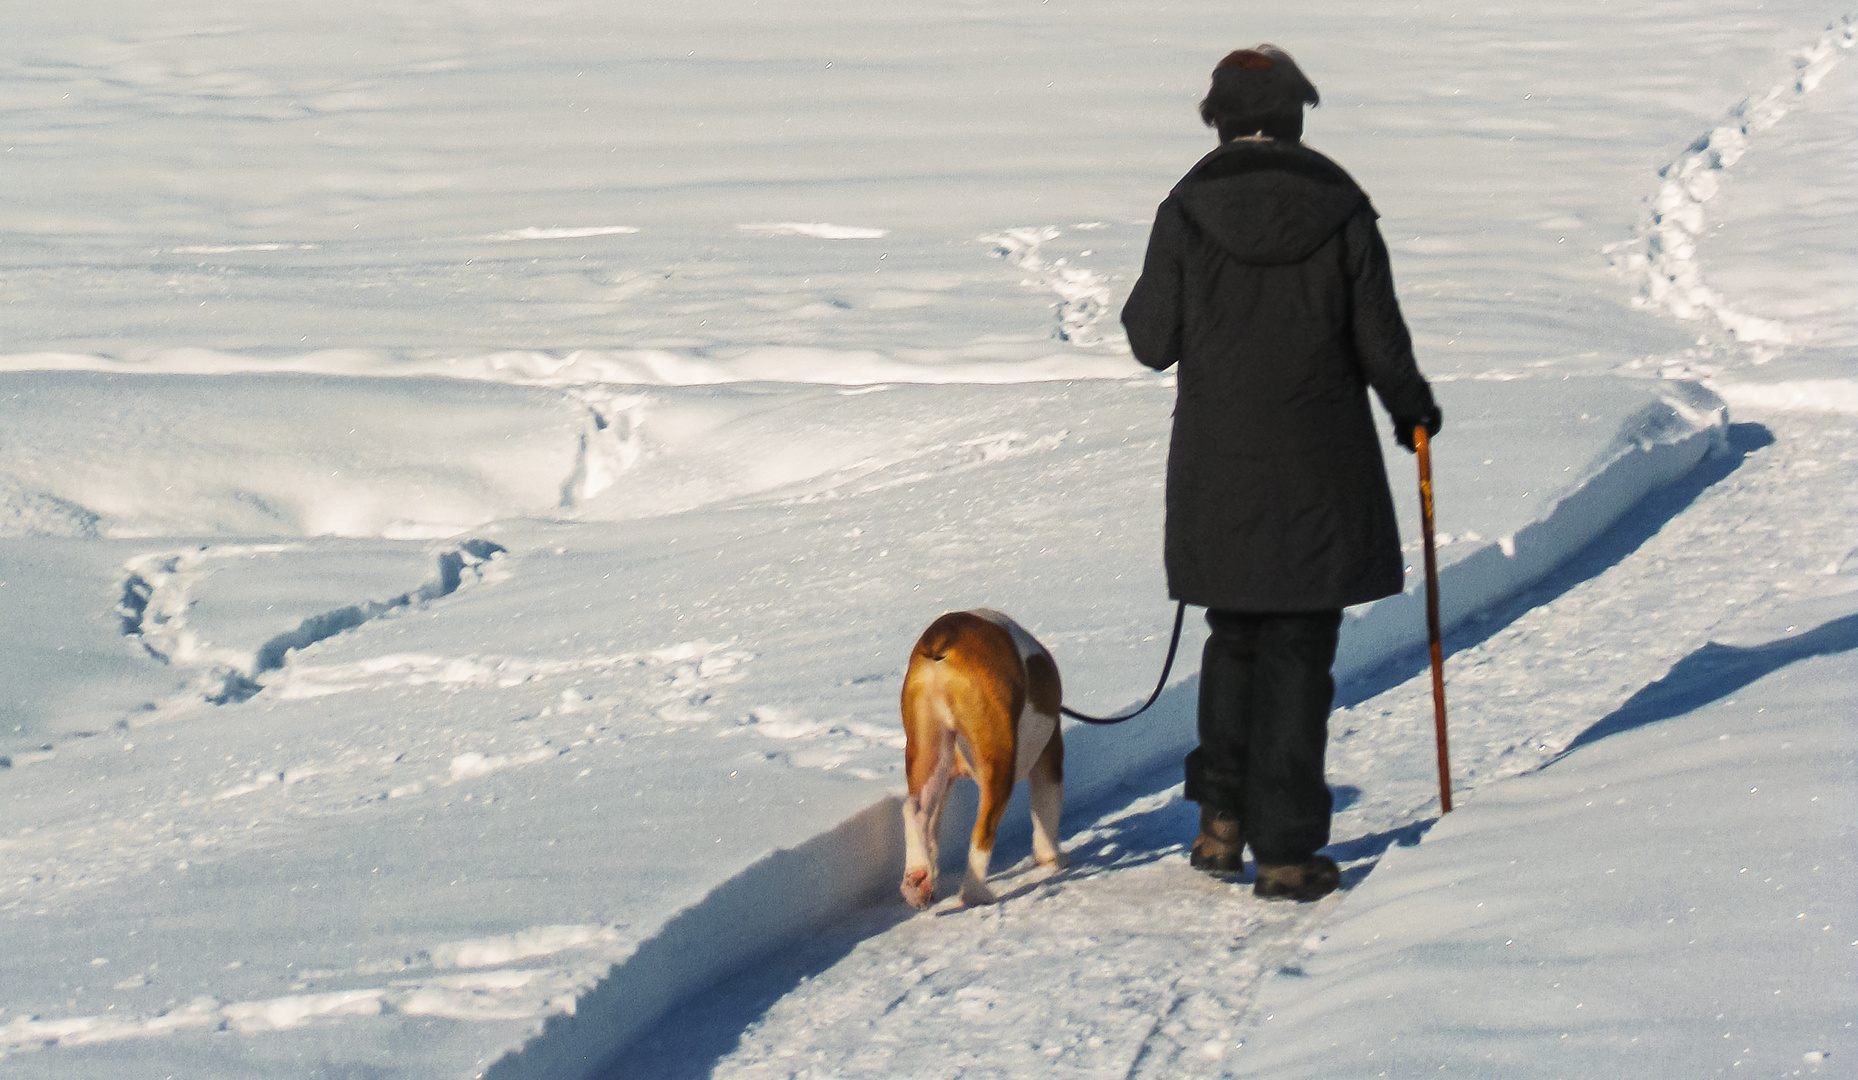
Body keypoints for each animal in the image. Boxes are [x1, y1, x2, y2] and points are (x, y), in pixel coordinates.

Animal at [895, 609, 1062, 907]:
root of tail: (947, 635)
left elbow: (932, 829)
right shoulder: (1050, 759)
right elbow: (1046, 812)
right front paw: (1051, 860)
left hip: (928, 749)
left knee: (915, 809)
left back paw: (917, 880)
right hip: (999, 760)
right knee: (983, 831)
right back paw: (975, 894)